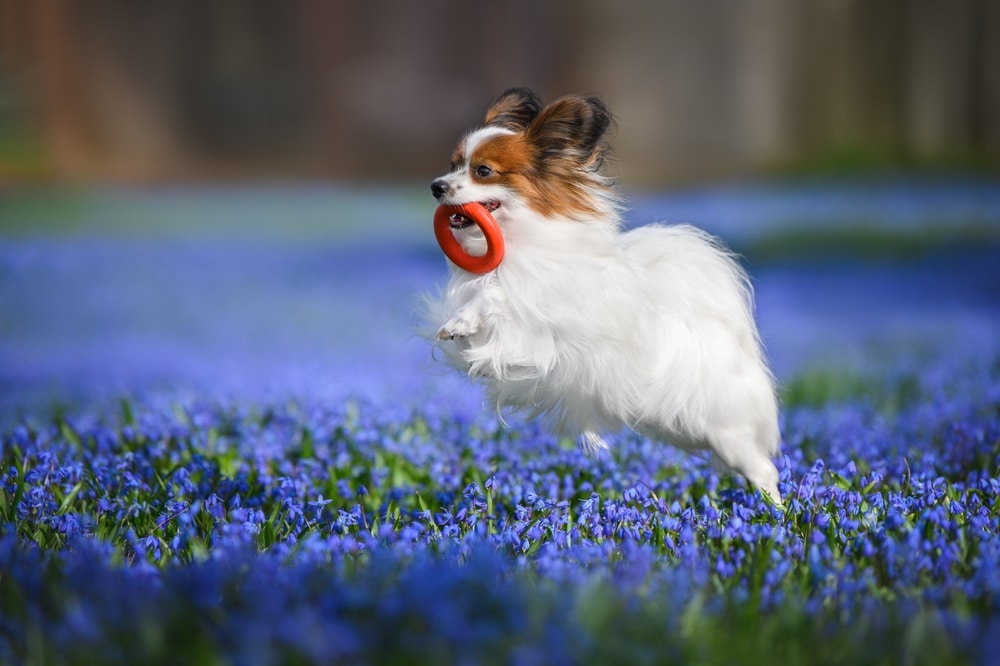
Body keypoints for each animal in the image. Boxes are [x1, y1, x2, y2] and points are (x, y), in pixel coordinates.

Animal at [422, 89, 780, 504]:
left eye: (482, 171)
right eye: (453, 165)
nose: (436, 186)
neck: (523, 241)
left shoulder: (548, 324)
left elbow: (502, 299)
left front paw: (468, 317)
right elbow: (484, 310)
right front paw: (462, 327)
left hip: (726, 433)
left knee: (765, 470)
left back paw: (777, 511)